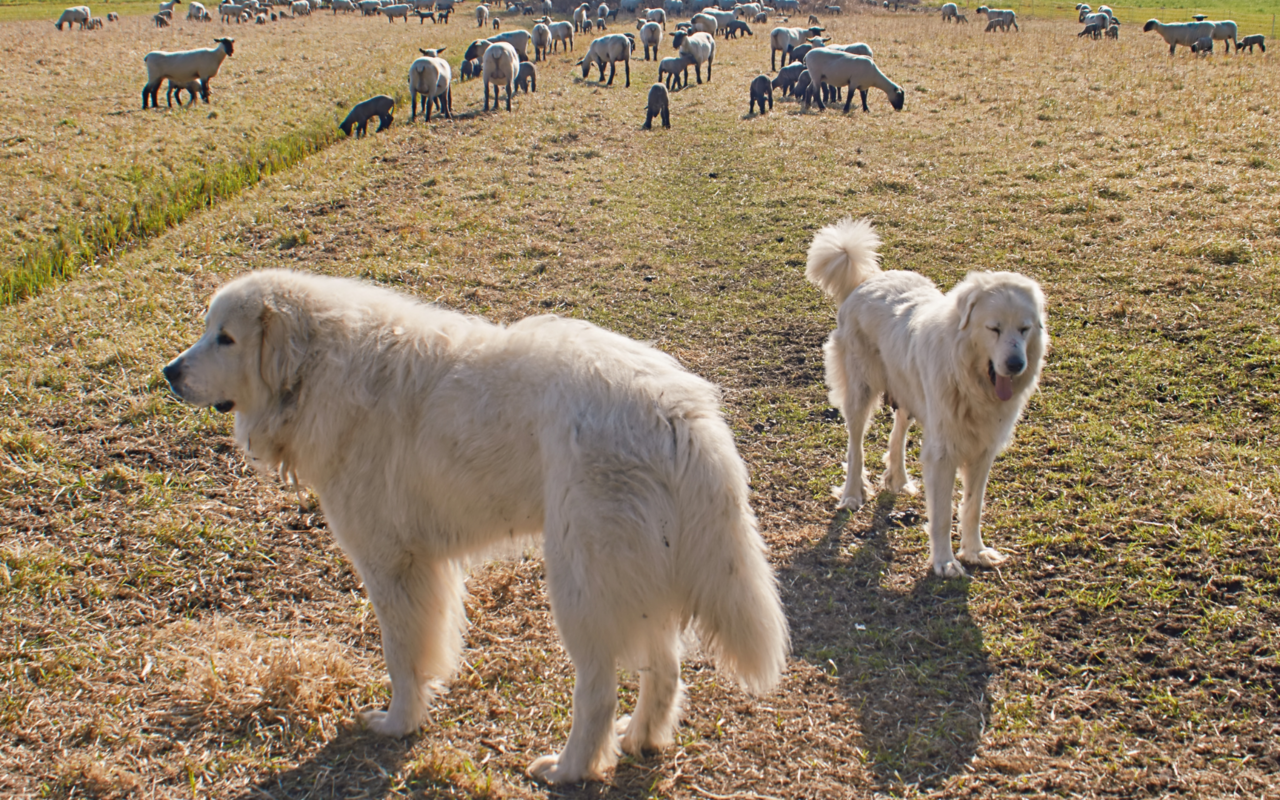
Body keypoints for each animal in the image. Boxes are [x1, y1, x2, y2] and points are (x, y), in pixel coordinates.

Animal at [163, 271, 783, 783]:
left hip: (581, 583)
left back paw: (568, 769)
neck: (316, 369)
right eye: (207, 331)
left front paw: (398, 724)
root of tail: (678, 410)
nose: (168, 372)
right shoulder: (425, 565)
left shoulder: (392, 565)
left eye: (226, 339)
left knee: (598, 690)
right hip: (639, 574)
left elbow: (402, 656)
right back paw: (640, 740)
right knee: (667, 670)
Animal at [803, 218, 1044, 576]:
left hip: (909, 390)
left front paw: (975, 552)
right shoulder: (943, 453)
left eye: (1025, 329)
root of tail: (868, 280)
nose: (1016, 365)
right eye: (994, 328)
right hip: (861, 392)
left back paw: (898, 478)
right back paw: (852, 494)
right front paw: (944, 562)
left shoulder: (982, 451)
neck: (970, 378)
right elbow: (942, 515)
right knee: (855, 446)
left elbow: (972, 507)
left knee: (898, 430)